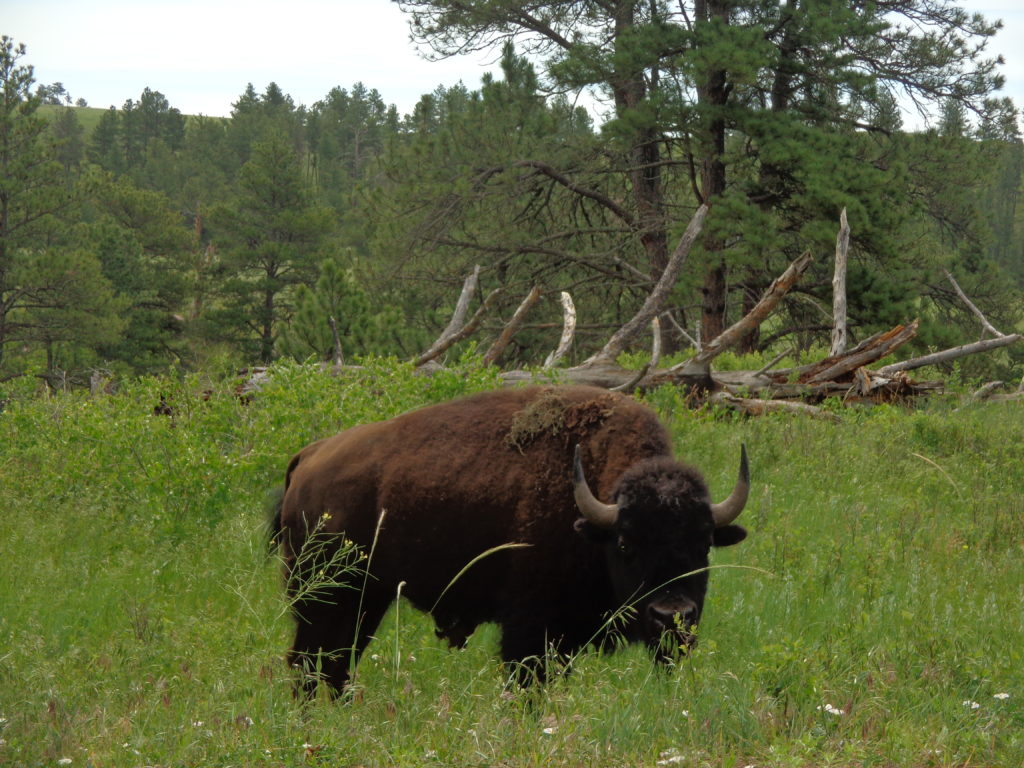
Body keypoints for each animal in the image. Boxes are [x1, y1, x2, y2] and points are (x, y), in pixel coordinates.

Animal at [270, 385, 753, 696]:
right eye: (625, 545)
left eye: (703, 544)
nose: (673, 617)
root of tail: (308, 457)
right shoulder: (531, 629)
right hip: (326, 599)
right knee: (309, 663)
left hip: (366, 601)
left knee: (334, 665)